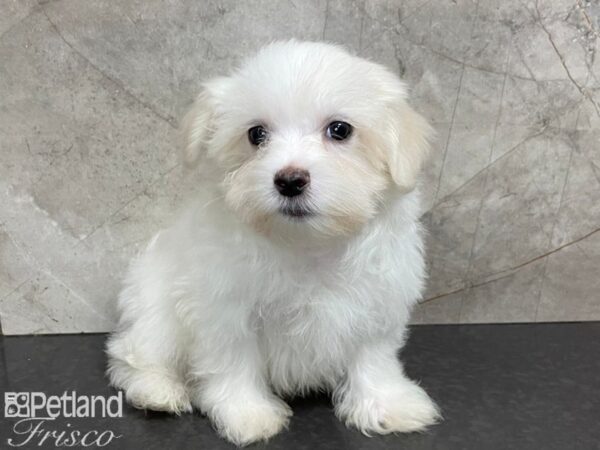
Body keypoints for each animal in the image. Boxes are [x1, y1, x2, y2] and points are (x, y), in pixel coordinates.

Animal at [105, 39, 438, 446]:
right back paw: (157, 390)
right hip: (154, 309)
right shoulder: (225, 309)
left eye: (340, 130)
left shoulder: (377, 304)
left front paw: (386, 404)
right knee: (133, 354)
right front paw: (246, 413)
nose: (290, 180)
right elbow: (233, 361)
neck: (306, 246)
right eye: (256, 134)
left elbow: (372, 358)